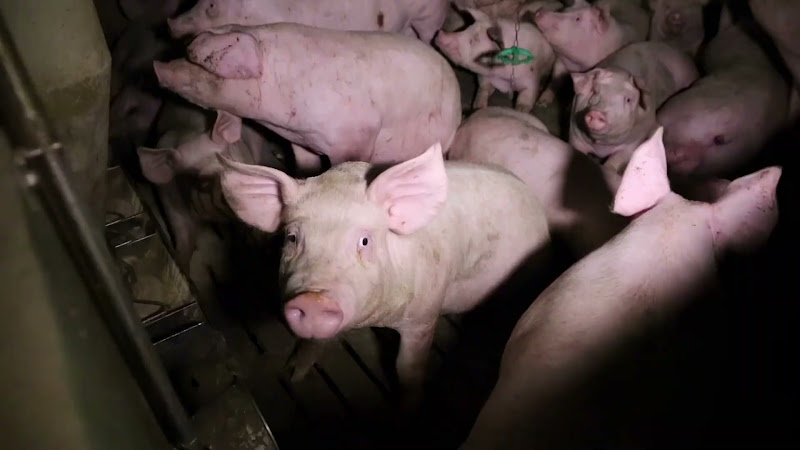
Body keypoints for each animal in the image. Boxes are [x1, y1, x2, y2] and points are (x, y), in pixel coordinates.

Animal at [218, 142, 551, 399]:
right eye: (292, 238)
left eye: (365, 241)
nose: (313, 300)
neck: (374, 318)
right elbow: (316, 341)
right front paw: (293, 375)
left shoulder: (424, 315)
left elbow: (407, 368)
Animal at [568, 41, 699, 174]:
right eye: (595, 91)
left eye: (628, 99)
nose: (597, 113)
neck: (601, 148)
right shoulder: (575, 133)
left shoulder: (633, 143)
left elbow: (617, 160)